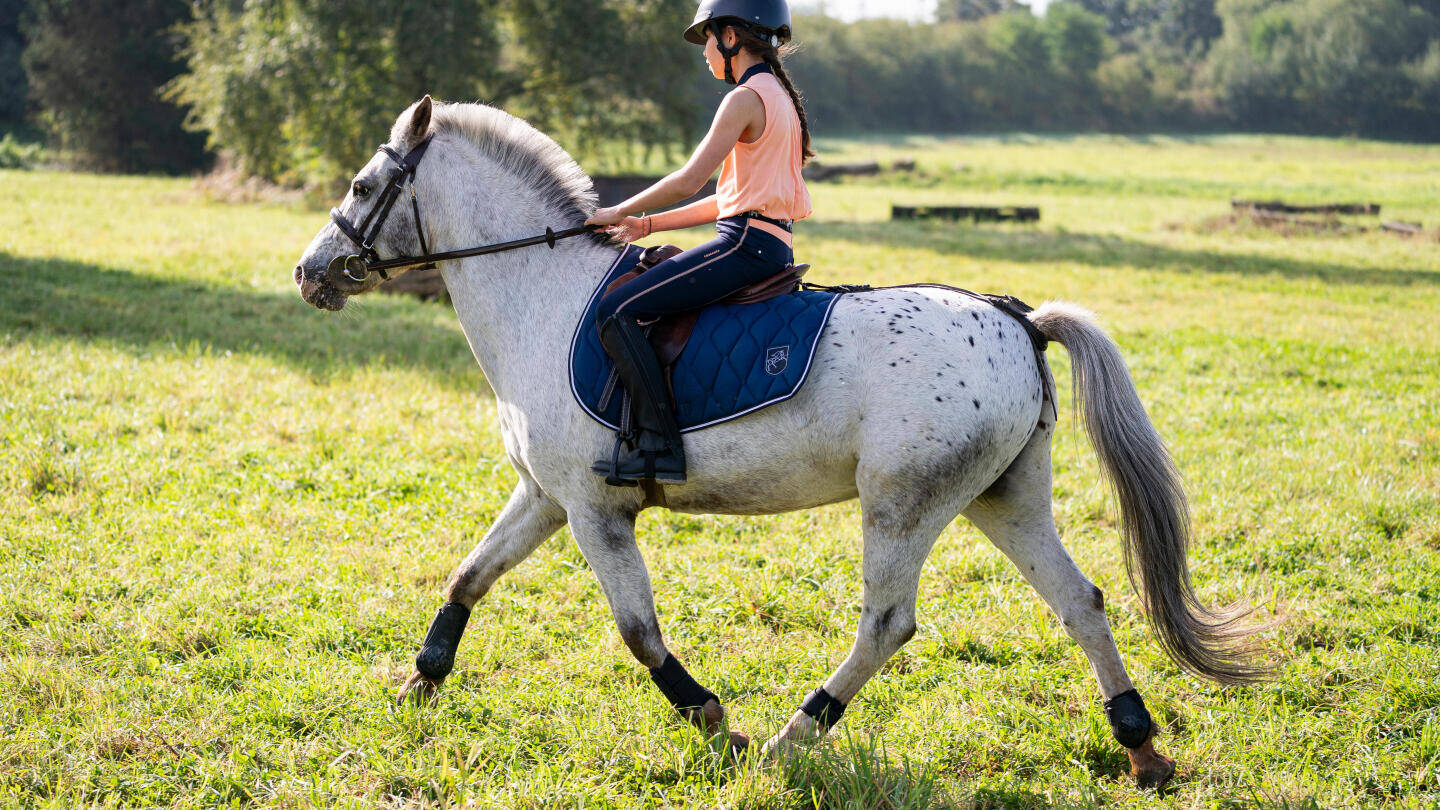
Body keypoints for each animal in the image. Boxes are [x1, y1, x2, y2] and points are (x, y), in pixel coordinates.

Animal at [292, 95, 1261, 789]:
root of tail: (1017, 320)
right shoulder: (546, 495)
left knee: (887, 624)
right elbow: (468, 576)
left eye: (363, 188)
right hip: (1003, 498)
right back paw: (1142, 749)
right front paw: (419, 684)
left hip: (903, 503)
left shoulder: (596, 510)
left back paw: (792, 739)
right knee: (1081, 603)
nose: (309, 273)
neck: (541, 293)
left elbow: (639, 632)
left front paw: (717, 722)